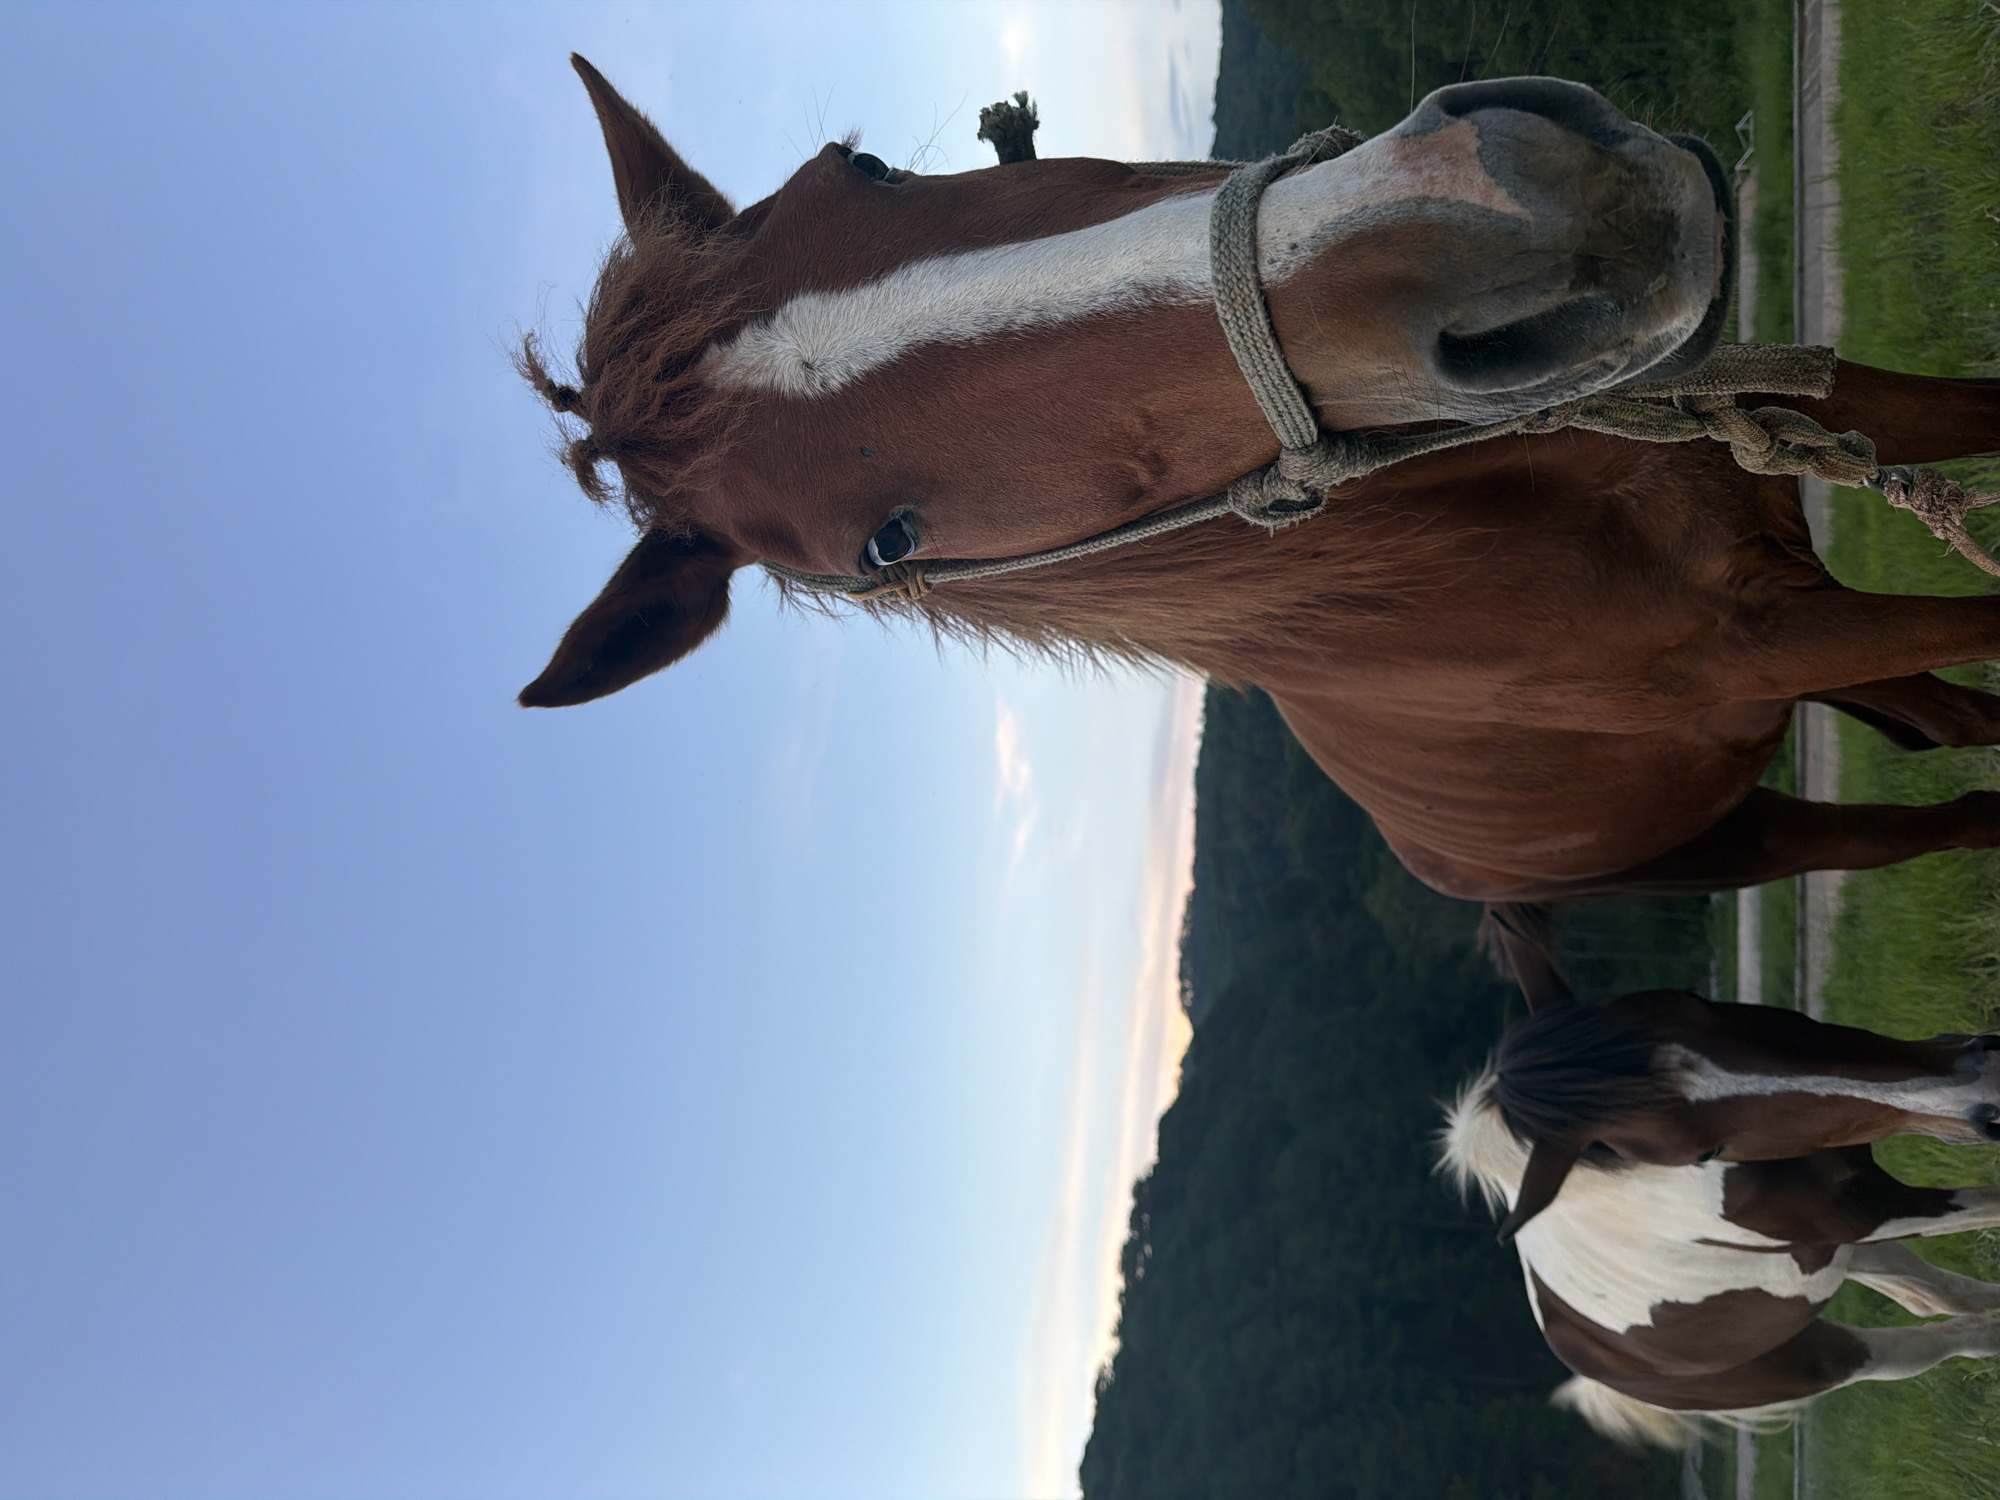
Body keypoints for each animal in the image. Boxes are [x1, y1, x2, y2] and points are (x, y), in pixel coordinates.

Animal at [520, 56, 2000, 908]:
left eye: (866, 164)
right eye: (884, 543)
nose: (1508, 202)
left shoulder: (1798, 410)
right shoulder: (1768, 643)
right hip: (1722, 838)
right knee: (1942, 811)